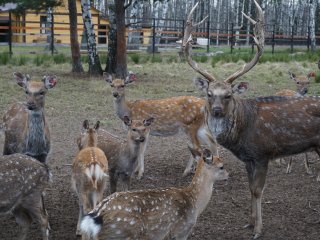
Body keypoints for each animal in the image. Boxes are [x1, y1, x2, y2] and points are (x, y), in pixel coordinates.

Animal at [80, 148, 229, 240]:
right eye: (221, 166)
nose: (228, 175)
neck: (195, 202)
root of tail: (96, 216)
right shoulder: (181, 230)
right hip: (121, 233)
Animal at [181, 0, 320, 238]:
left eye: (228, 94)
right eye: (209, 93)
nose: (216, 110)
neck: (242, 133)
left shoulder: (263, 153)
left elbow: (257, 190)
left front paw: (258, 229)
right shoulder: (248, 159)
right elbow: (249, 188)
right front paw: (249, 223)